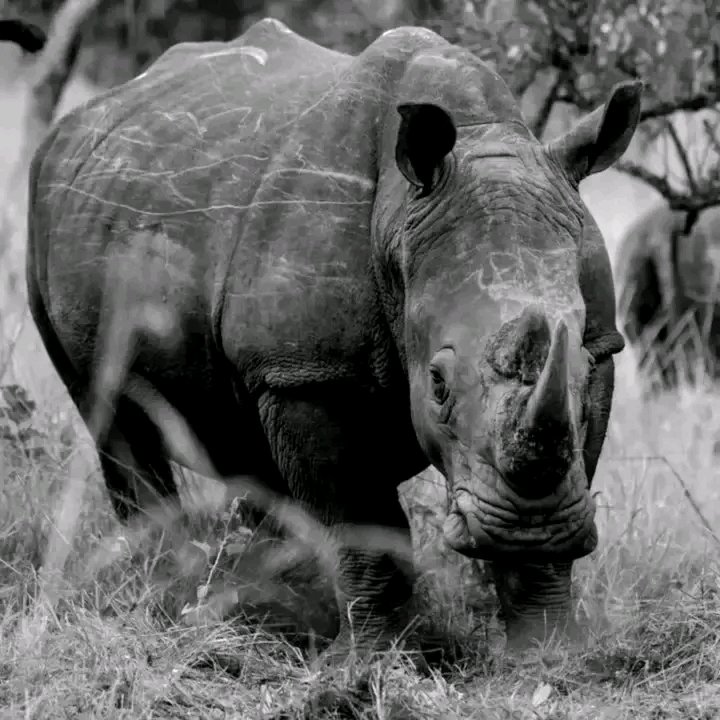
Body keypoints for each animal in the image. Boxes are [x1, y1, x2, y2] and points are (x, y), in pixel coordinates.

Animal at [24, 17, 642, 660]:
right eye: (438, 385)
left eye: (580, 370)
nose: (525, 530)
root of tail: (80, 120)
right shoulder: (308, 375)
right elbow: (363, 523)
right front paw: (373, 660)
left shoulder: (602, 343)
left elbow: (567, 460)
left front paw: (546, 650)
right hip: (50, 206)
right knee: (111, 414)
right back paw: (167, 592)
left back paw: (265, 601)